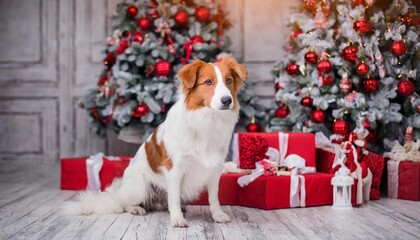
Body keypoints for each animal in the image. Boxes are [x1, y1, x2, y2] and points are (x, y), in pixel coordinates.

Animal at [64, 56, 248, 227]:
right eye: (208, 82)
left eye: (229, 81)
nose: (227, 100)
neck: (208, 119)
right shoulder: (175, 169)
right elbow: (174, 198)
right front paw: (177, 219)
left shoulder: (214, 169)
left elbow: (214, 197)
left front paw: (217, 215)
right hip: (139, 187)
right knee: (123, 204)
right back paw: (136, 208)